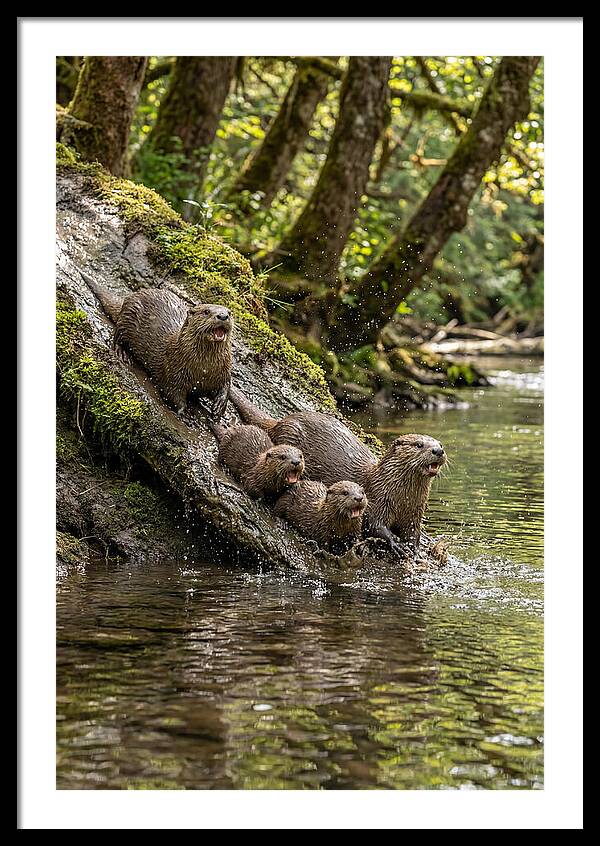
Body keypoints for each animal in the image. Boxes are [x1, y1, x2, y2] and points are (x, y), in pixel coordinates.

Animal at [81, 270, 233, 419]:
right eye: (206, 311)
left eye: (229, 312)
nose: (223, 316)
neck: (203, 370)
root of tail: (131, 296)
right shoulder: (173, 371)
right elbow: (172, 393)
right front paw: (184, 412)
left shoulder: (223, 370)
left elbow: (226, 384)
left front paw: (219, 406)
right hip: (128, 317)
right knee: (117, 335)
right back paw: (122, 353)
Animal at [229, 387, 446, 550]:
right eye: (419, 444)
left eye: (440, 444)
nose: (438, 450)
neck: (402, 498)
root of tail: (282, 422)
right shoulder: (377, 501)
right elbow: (375, 525)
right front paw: (395, 543)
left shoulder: (414, 513)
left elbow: (413, 532)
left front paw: (414, 548)